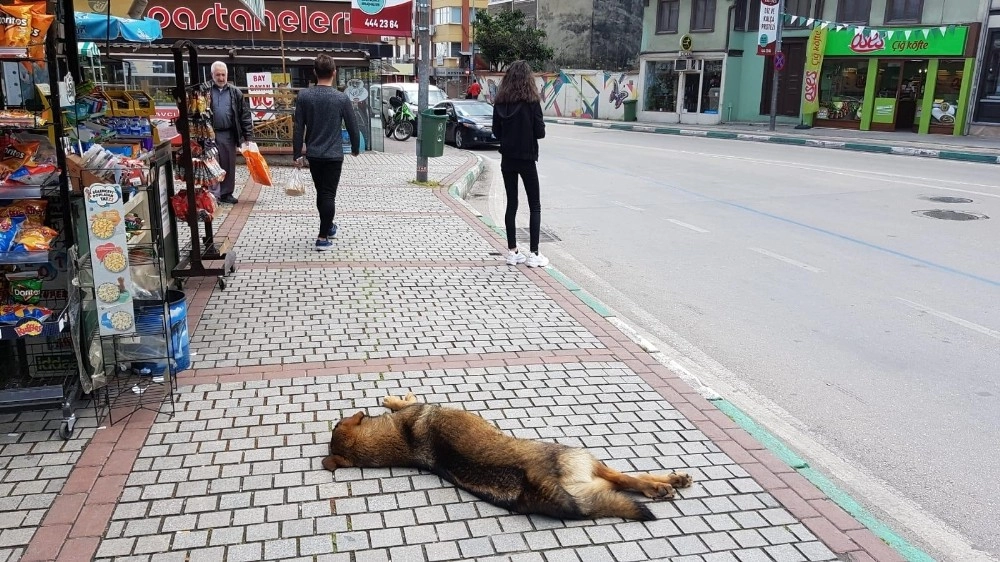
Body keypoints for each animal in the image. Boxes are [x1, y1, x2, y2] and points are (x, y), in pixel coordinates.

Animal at [324, 392, 692, 520]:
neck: (403, 438)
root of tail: (541, 488)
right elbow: (405, 401)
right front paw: (394, 400)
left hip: (592, 485)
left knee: (624, 482)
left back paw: (670, 483)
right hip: (583, 457)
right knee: (627, 477)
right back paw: (665, 484)